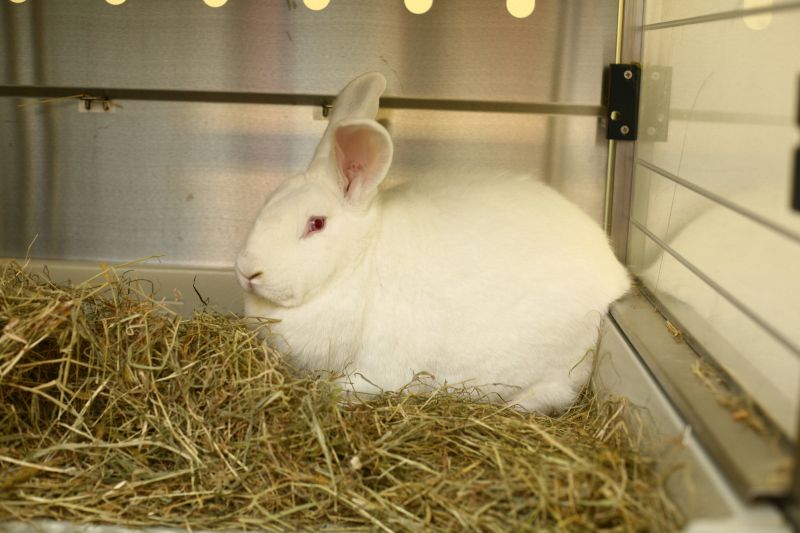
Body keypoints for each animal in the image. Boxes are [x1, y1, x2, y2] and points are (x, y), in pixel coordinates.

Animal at [235, 72, 630, 414]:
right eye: (269, 200)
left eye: (316, 224)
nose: (247, 270)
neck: (359, 263)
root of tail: (615, 278)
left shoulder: (379, 367)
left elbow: (350, 386)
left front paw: (322, 394)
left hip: (559, 365)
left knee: (554, 392)